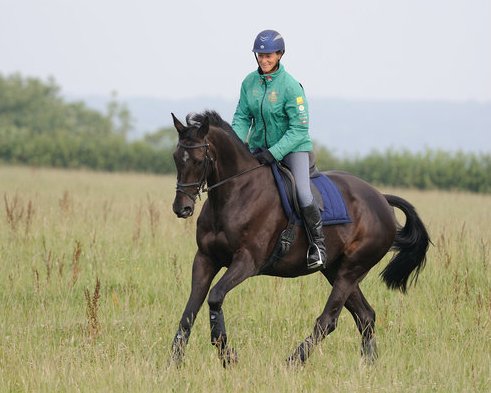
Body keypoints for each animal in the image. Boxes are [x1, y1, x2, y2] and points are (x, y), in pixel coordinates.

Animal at [170, 109, 430, 364]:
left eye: (198, 160)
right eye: (175, 157)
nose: (181, 208)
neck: (236, 193)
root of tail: (381, 199)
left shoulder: (247, 262)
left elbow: (214, 297)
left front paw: (227, 355)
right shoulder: (205, 258)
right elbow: (189, 310)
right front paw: (174, 361)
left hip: (351, 270)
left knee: (328, 320)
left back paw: (293, 361)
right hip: (335, 270)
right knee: (366, 316)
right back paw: (367, 365)